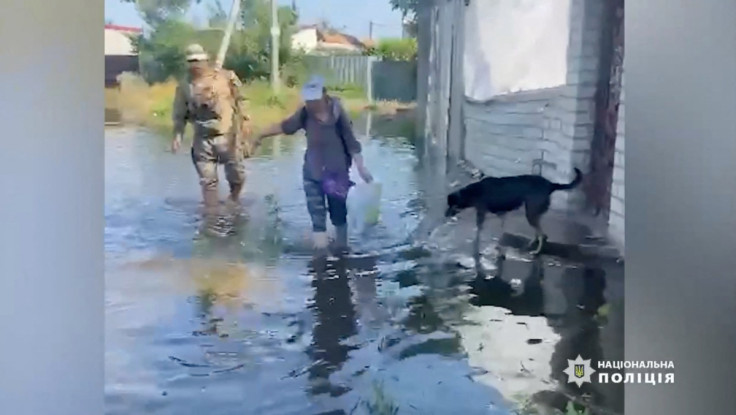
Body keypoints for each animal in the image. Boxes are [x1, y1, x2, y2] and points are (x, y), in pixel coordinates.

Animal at [446, 169, 584, 256]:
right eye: (449, 205)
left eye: (452, 205)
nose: (445, 215)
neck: (473, 192)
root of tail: (550, 184)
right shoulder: (501, 214)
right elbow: (501, 229)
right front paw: (499, 246)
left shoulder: (481, 212)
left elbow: (479, 231)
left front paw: (477, 245)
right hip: (533, 213)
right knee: (541, 234)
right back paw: (532, 243)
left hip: (530, 213)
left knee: (542, 235)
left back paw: (536, 251)